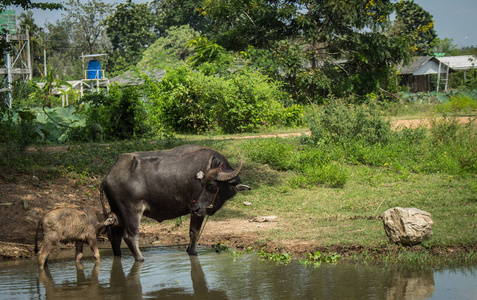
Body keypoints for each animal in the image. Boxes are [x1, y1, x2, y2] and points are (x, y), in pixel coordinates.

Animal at [99, 145, 249, 260]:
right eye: (206, 185)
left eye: (211, 186)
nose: (196, 207)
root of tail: (108, 176)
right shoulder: (196, 212)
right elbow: (194, 232)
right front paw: (193, 252)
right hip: (131, 211)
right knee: (130, 237)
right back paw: (140, 258)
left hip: (117, 212)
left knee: (116, 236)